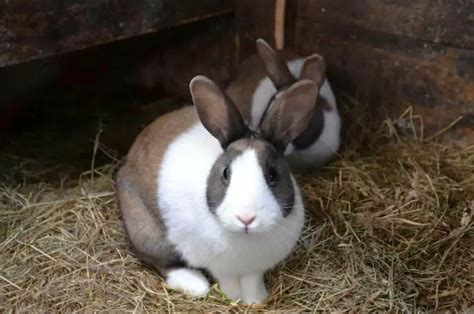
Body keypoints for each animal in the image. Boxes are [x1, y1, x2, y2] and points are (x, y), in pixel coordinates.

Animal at [116, 75, 320, 302]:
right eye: (226, 173)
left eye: (272, 175)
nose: (246, 219)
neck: (246, 238)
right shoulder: (220, 268)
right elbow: (228, 283)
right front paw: (235, 298)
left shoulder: (254, 270)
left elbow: (252, 283)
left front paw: (257, 301)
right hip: (147, 233)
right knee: (162, 262)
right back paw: (195, 284)